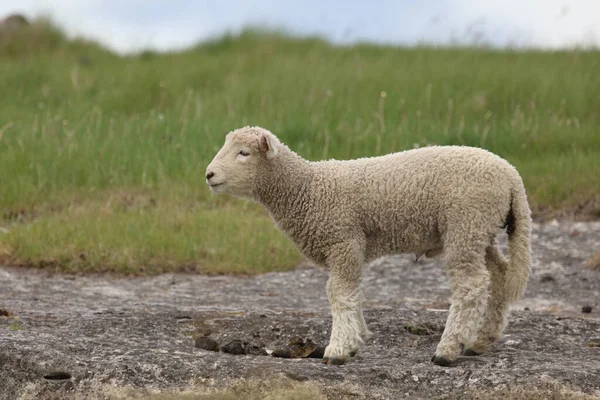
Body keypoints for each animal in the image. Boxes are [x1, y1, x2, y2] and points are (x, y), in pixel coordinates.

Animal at [205, 126, 528, 366]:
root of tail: (512, 175)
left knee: (471, 285)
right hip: (481, 230)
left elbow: (339, 293)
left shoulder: (343, 239)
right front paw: (357, 337)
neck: (308, 189)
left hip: (466, 223)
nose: (208, 174)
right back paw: (482, 340)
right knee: (499, 275)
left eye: (244, 153)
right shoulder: (352, 247)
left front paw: (338, 349)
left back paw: (448, 349)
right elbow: (353, 292)